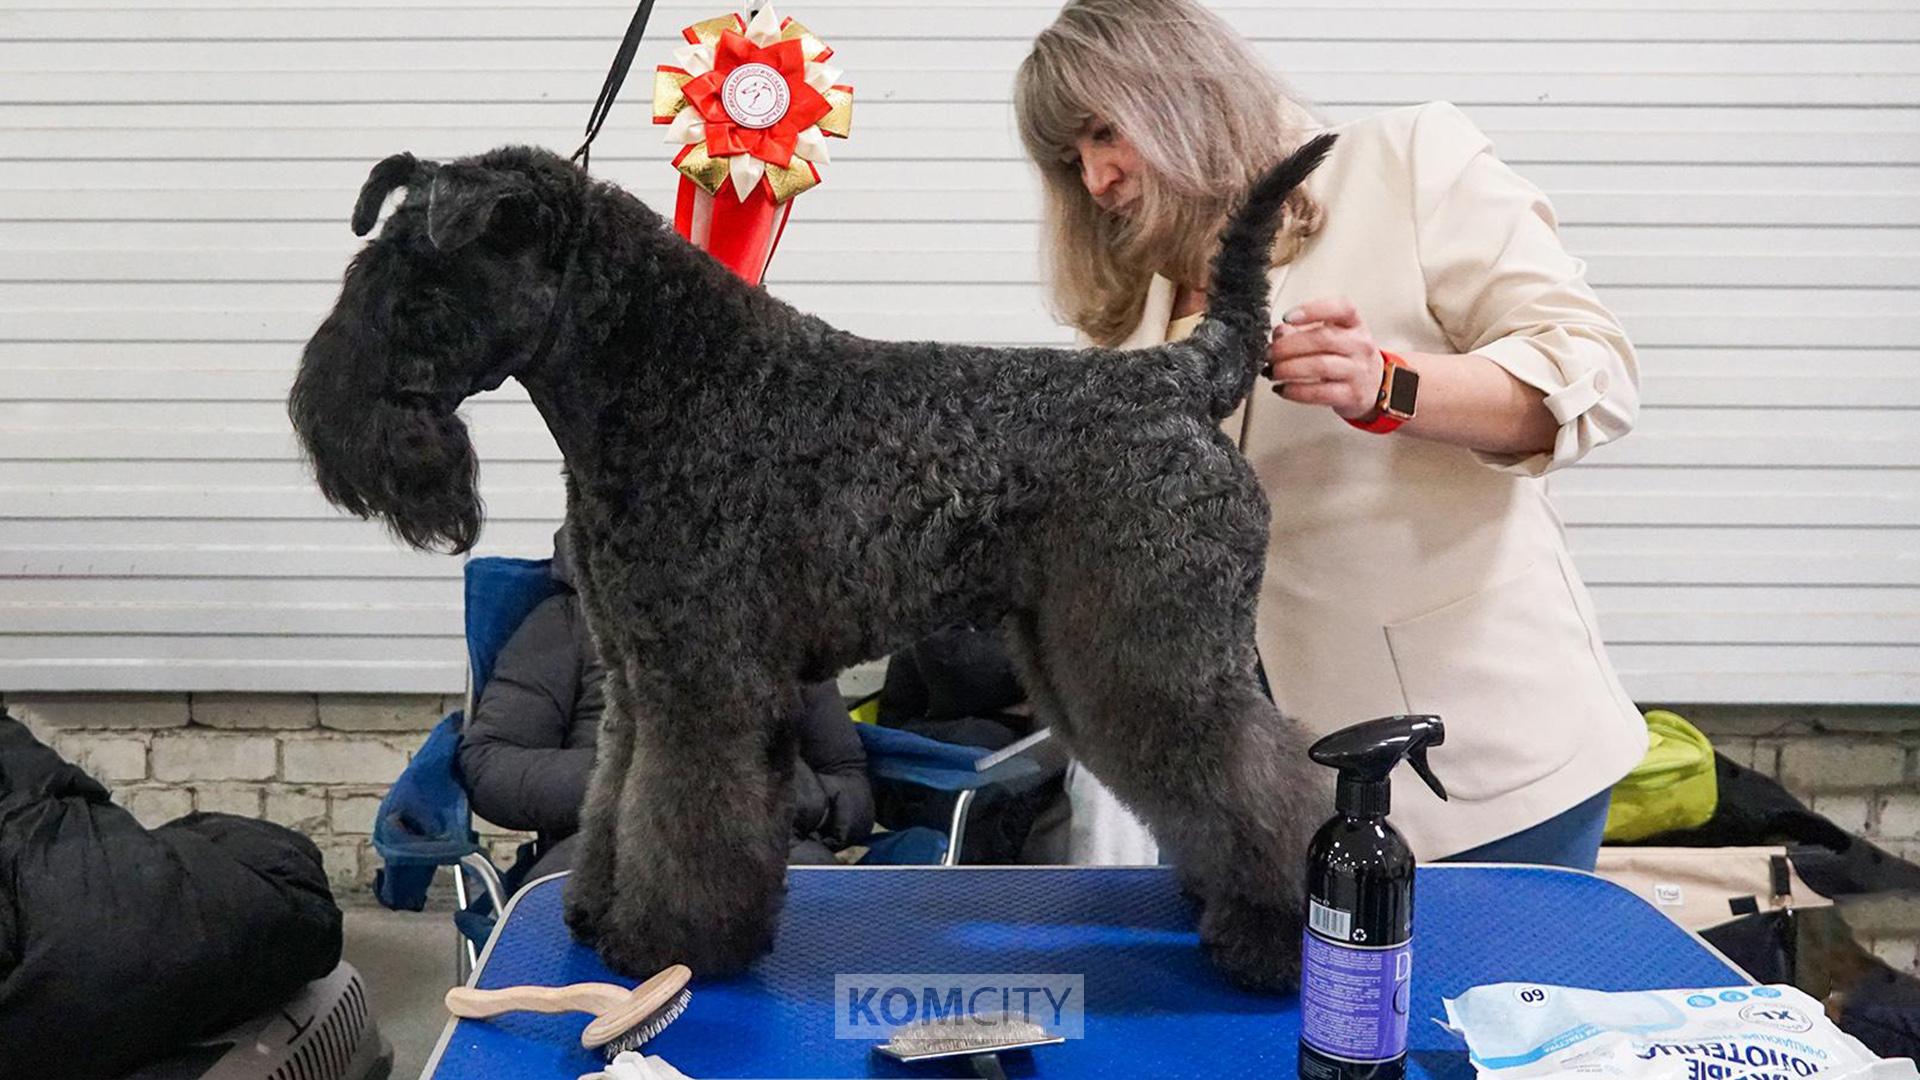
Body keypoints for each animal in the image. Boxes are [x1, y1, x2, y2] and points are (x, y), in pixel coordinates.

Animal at [288, 132, 1336, 983]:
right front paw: (593, 907)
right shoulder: (637, 672)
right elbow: (616, 791)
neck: (672, 377)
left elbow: (689, 810)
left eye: (420, 286)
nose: (318, 413)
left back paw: (1279, 937)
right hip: (1087, 650)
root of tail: (1180, 375)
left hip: (1155, 651)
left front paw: (670, 943)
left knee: (1258, 773)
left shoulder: (709, 677)